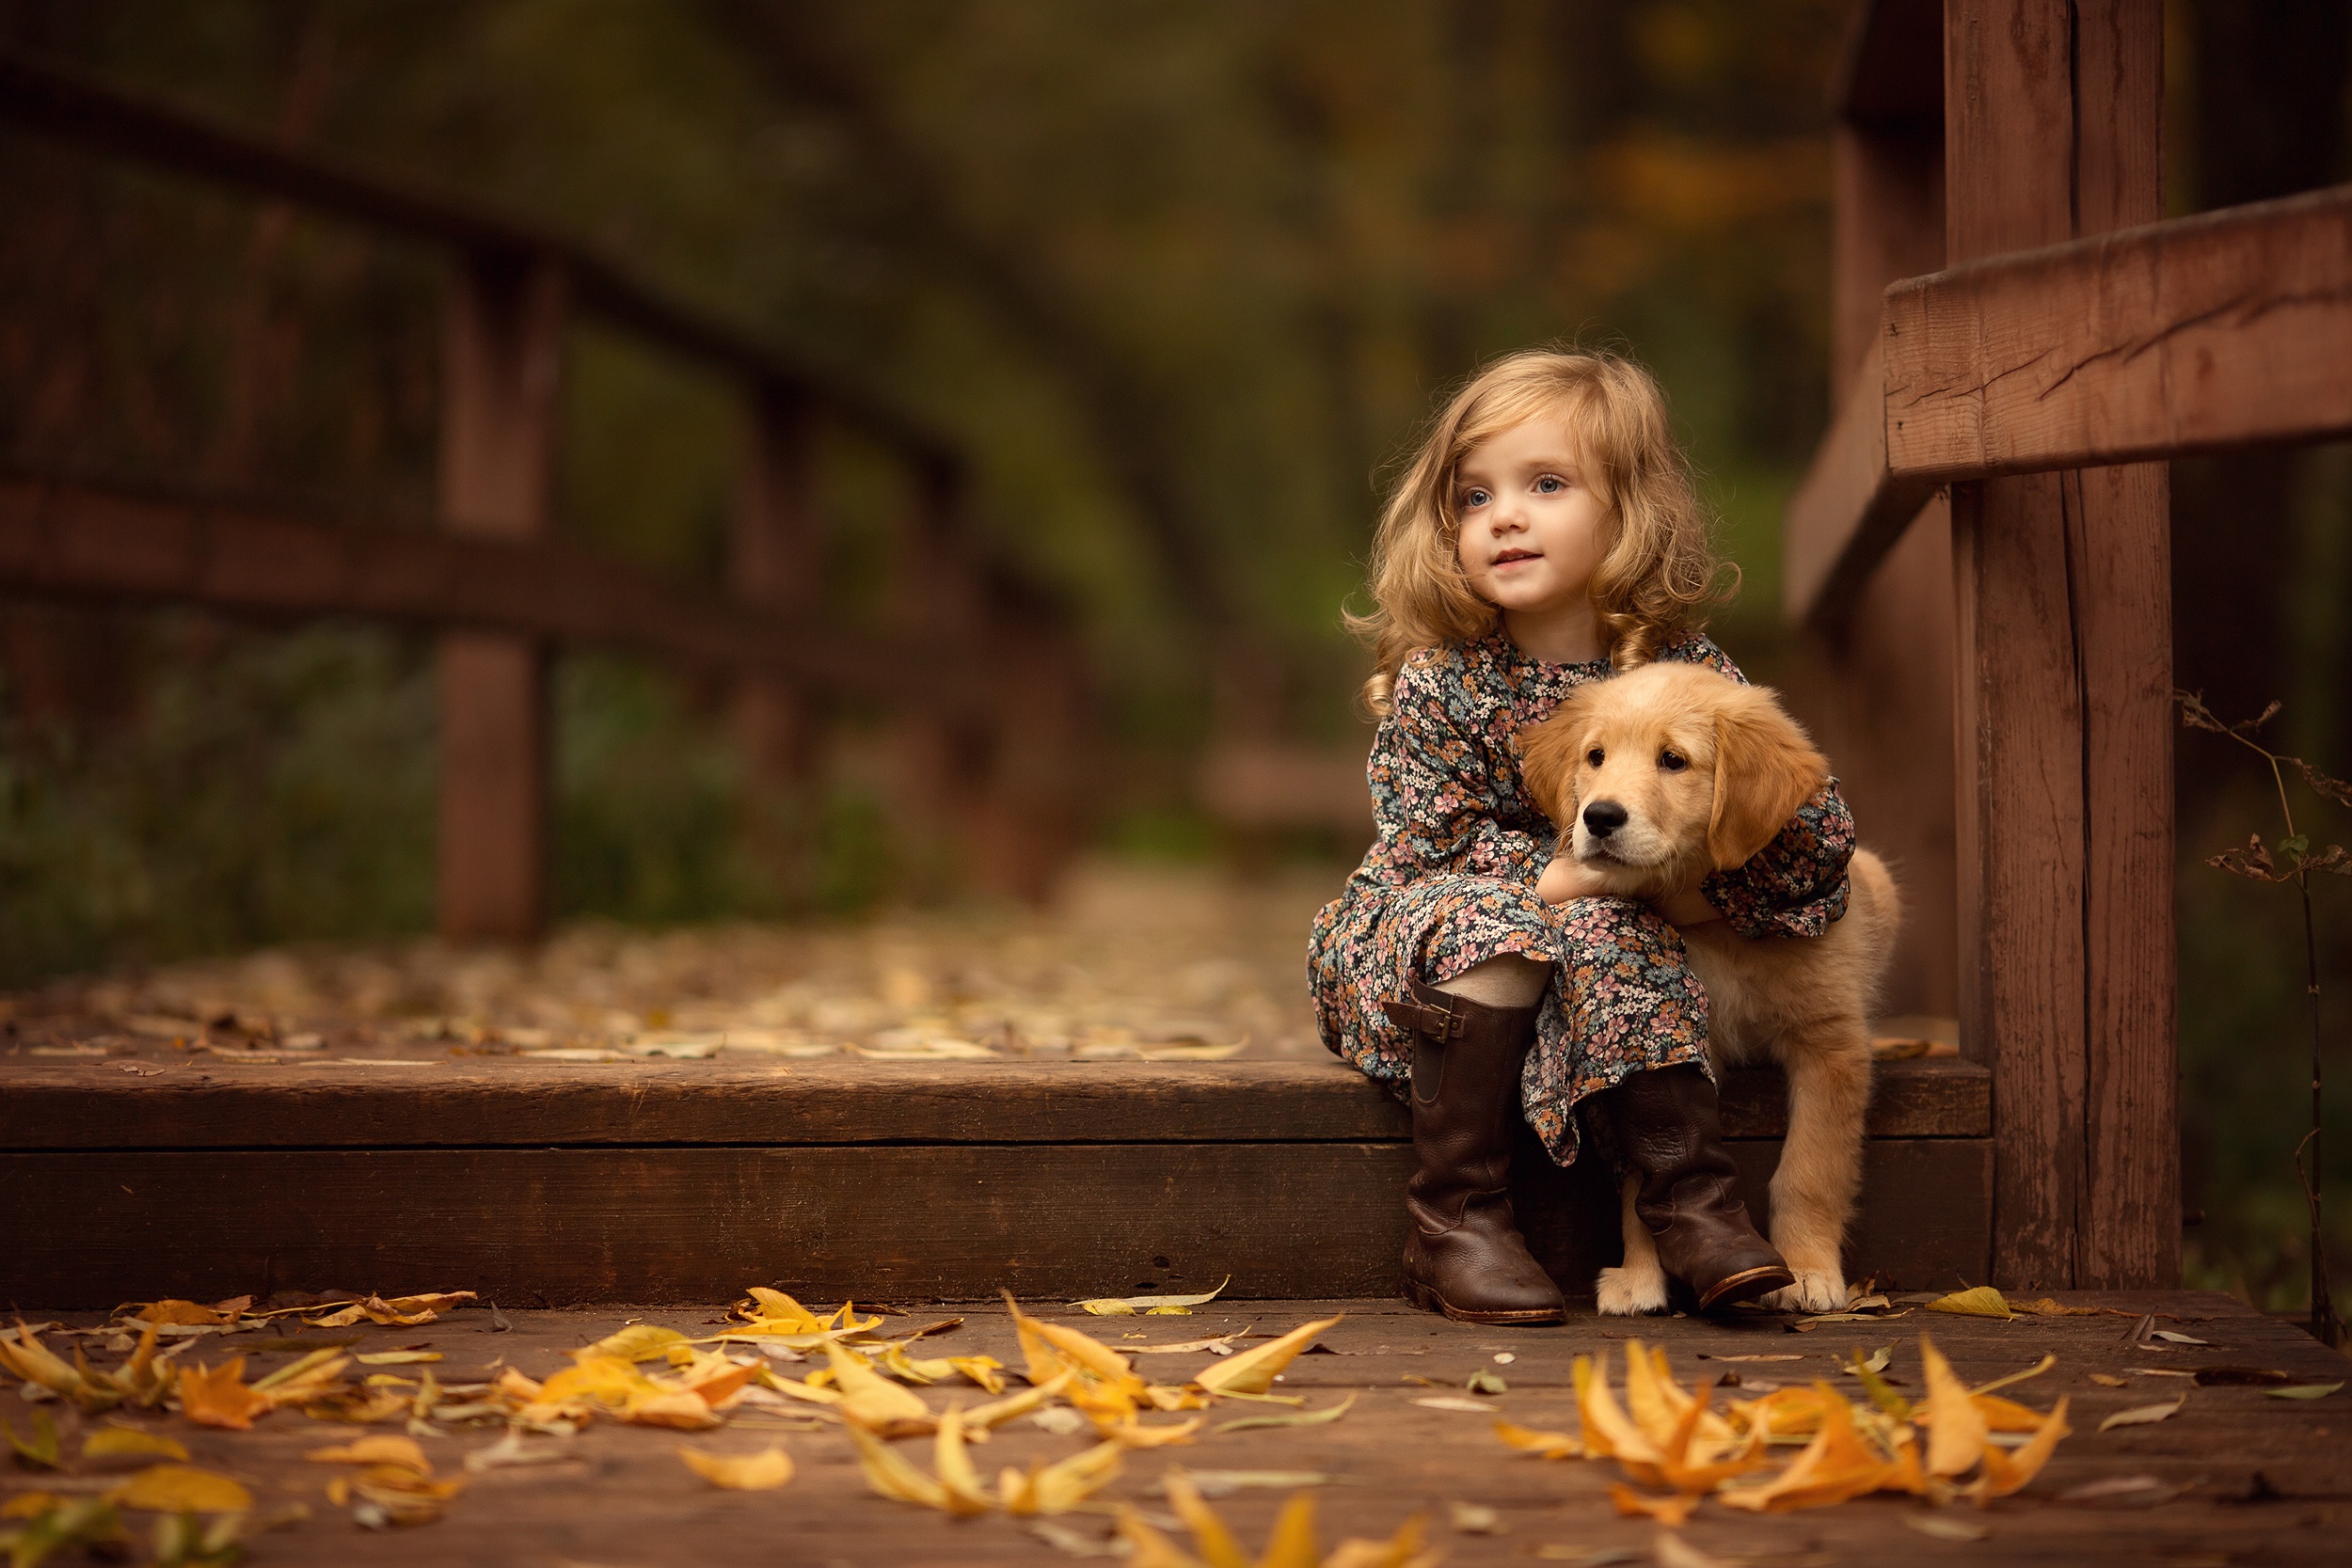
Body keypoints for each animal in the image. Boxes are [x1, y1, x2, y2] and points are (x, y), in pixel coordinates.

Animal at [1515, 662, 1900, 1316]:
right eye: (1595, 757)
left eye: (1673, 760)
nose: (1599, 817)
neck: (1715, 928)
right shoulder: (1686, 1040)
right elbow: (1647, 1173)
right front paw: (1642, 1277)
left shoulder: (1832, 1044)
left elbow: (1810, 1169)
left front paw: (1807, 1270)